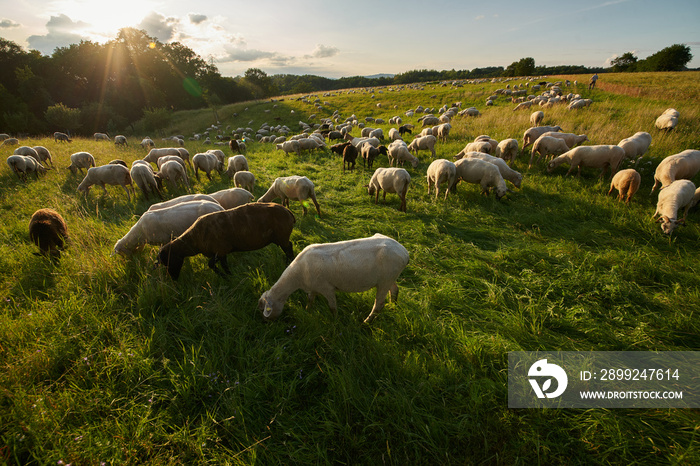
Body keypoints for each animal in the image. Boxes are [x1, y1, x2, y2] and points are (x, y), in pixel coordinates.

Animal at [156, 203, 296, 280]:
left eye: (167, 260)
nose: (173, 278)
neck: (194, 238)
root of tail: (288, 212)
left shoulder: (220, 249)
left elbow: (211, 265)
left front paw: (224, 277)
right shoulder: (221, 253)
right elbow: (225, 265)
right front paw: (229, 276)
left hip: (282, 236)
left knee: (288, 248)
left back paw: (288, 264)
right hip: (280, 237)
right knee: (289, 247)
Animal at [258, 233, 410, 324]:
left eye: (263, 309)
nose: (264, 322)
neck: (297, 276)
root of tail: (404, 252)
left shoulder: (327, 288)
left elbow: (332, 307)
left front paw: (335, 321)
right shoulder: (314, 287)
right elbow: (310, 300)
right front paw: (307, 311)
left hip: (385, 280)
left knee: (378, 305)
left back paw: (366, 322)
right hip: (390, 278)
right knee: (394, 290)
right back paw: (393, 306)